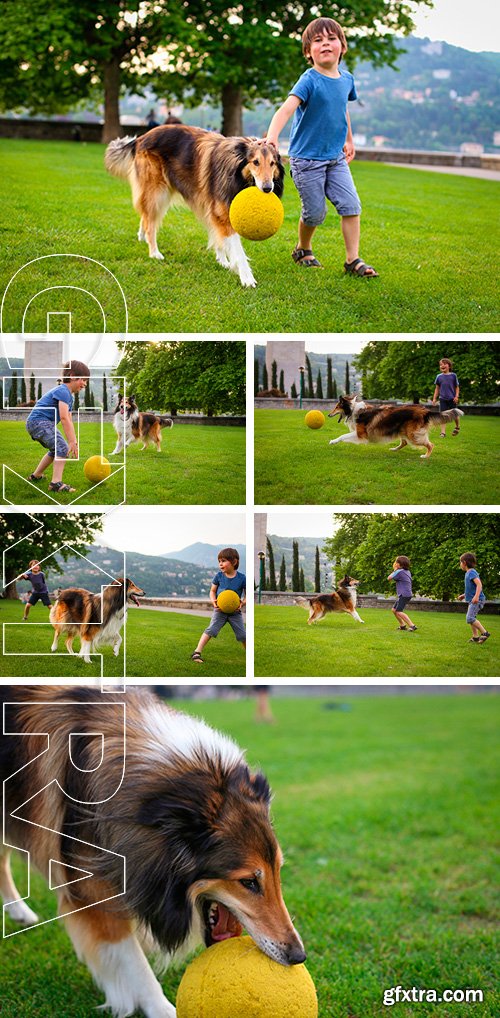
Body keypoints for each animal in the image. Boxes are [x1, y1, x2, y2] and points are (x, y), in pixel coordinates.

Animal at [0, 684, 305, 1018]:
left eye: (278, 871)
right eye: (248, 881)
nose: (298, 956)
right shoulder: (92, 890)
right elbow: (133, 963)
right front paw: (162, 1008)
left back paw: (20, 912)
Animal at [103, 126, 283, 289]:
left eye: (272, 163)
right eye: (255, 162)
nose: (268, 188)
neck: (236, 173)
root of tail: (141, 138)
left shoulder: (214, 211)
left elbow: (218, 238)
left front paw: (223, 261)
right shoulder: (223, 214)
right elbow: (238, 251)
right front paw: (246, 277)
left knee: (146, 215)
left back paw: (142, 236)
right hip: (157, 192)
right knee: (151, 223)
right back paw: (154, 252)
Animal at [327, 394, 466, 460]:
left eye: (337, 406)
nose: (328, 415)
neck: (353, 409)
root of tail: (425, 411)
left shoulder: (361, 434)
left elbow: (343, 435)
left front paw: (333, 441)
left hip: (413, 435)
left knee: (430, 444)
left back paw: (425, 456)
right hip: (402, 430)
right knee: (404, 443)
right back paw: (394, 449)